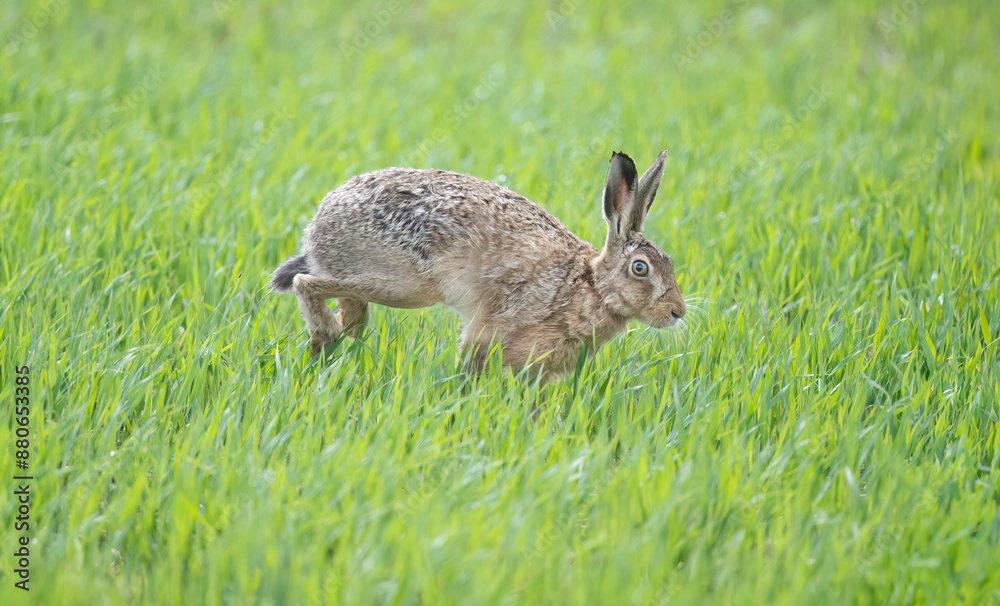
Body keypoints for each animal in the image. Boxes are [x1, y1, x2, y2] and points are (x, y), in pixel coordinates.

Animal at [270, 150, 686, 382]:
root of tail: (318, 224)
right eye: (640, 269)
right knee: (307, 284)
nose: (677, 312)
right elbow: (471, 364)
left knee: (351, 316)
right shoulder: (496, 331)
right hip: (402, 283)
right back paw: (325, 338)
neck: (590, 284)